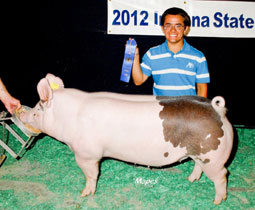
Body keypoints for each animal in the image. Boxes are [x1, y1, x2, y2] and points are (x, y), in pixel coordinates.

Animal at [20, 73, 233, 204]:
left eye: (37, 110)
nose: (22, 113)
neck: (69, 117)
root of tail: (217, 109)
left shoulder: (86, 154)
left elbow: (91, 174)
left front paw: (84, 194)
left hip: (213, 157)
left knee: (222, 175)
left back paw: (217, 201)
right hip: (200, 154)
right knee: (199, 167)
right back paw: (190, 180)